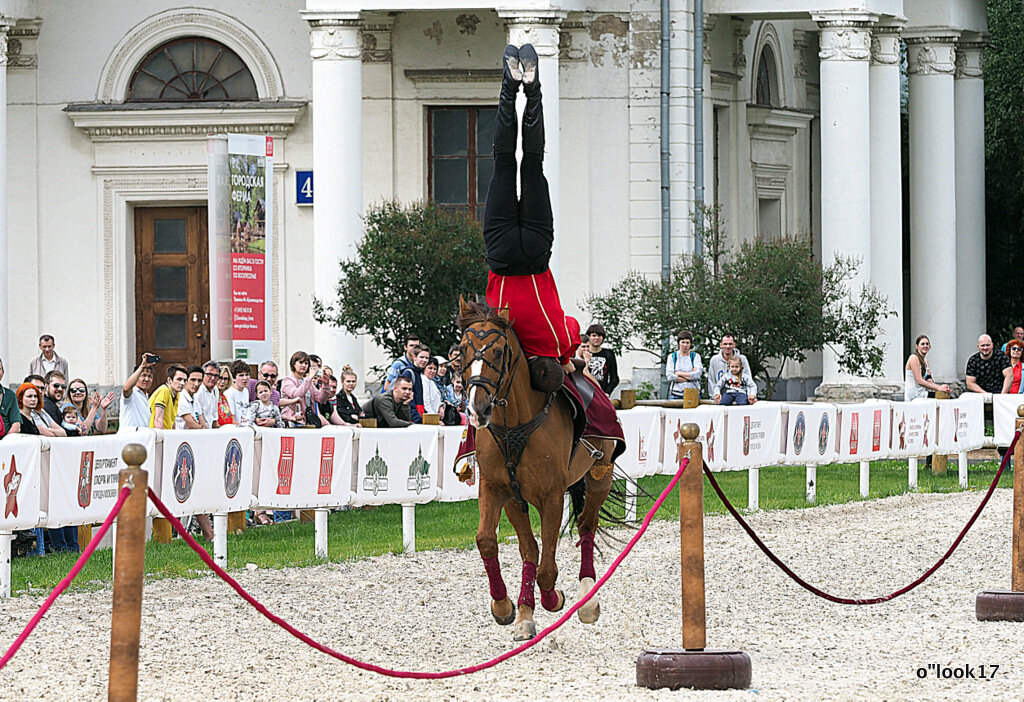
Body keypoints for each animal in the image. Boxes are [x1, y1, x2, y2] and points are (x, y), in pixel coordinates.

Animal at [458, 298, 614, 642]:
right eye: (461, 349)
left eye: (498, 352)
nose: (477, 408)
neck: (514, 425)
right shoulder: (499, 490)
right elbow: (493, 542)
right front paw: (507, 608)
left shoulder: (551, 497)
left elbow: (547, 569)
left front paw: (553, 598)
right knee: (532, 549)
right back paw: (526, 612)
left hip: (600, 477)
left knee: (586, 525)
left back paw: (587, 598)